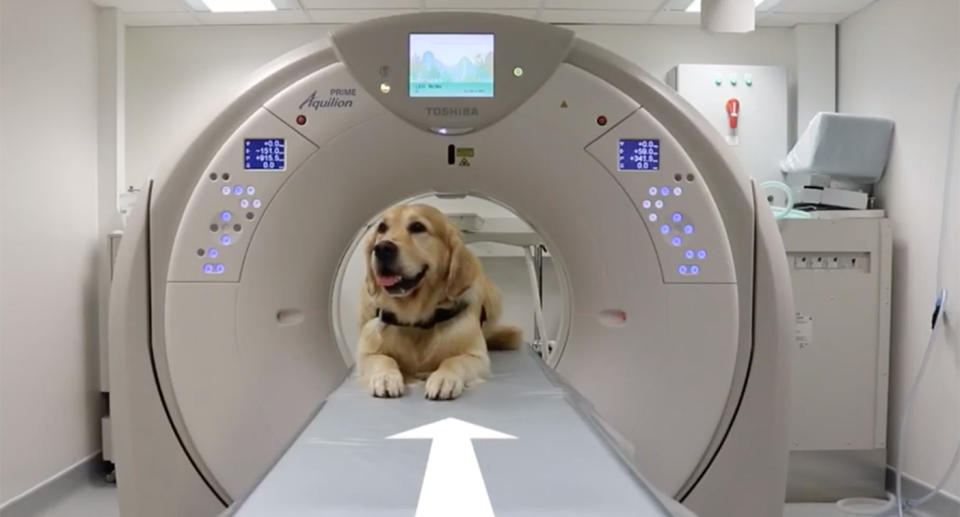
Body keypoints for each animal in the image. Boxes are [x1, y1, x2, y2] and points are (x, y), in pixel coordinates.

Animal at [358, 203, 524, 400]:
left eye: (418, 227)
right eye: (382, 228)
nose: (382, 248)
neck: (417, 321)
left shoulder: (477, 358)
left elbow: (454, 360)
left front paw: (444, 378)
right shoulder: (366, 353)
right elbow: (383, 359)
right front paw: (385, 377)